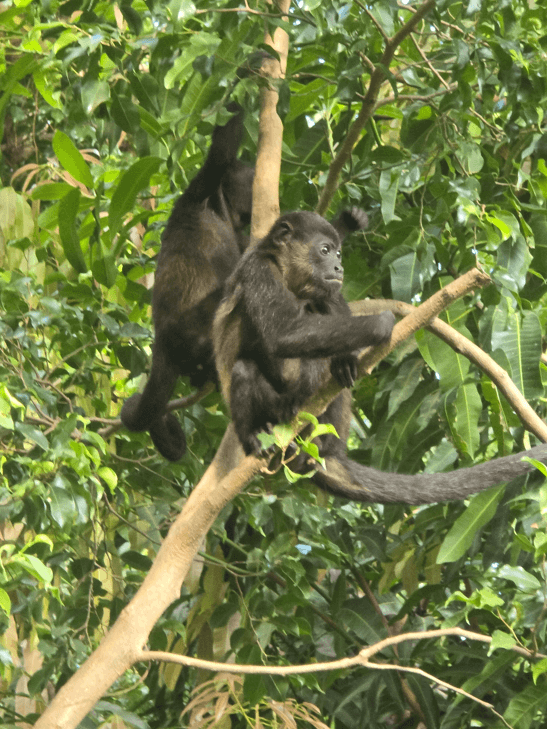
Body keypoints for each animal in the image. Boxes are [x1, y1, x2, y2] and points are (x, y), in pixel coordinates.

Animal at [213, 210, 547, 504]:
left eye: (338, 254)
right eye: (325, 250)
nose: (338, 268)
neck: (287, 275)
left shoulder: (323, 288)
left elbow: (331, 307)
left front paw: (347, 357)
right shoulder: (259, 268)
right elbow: (283, 333)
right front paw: (382, 323)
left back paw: (320, 434)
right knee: (245, 370)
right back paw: (256, 437)